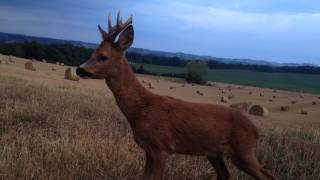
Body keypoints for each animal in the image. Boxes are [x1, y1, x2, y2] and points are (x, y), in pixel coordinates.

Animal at [76, 12, 276, 180]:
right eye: (92, 52)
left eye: (103, 56)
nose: (79, 69)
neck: (141, 109)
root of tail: (255, 129)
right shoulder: (148, 150)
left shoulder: (161, 148)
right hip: (215, 153)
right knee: (225, 174)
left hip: (244, 150)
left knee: (268, 176)